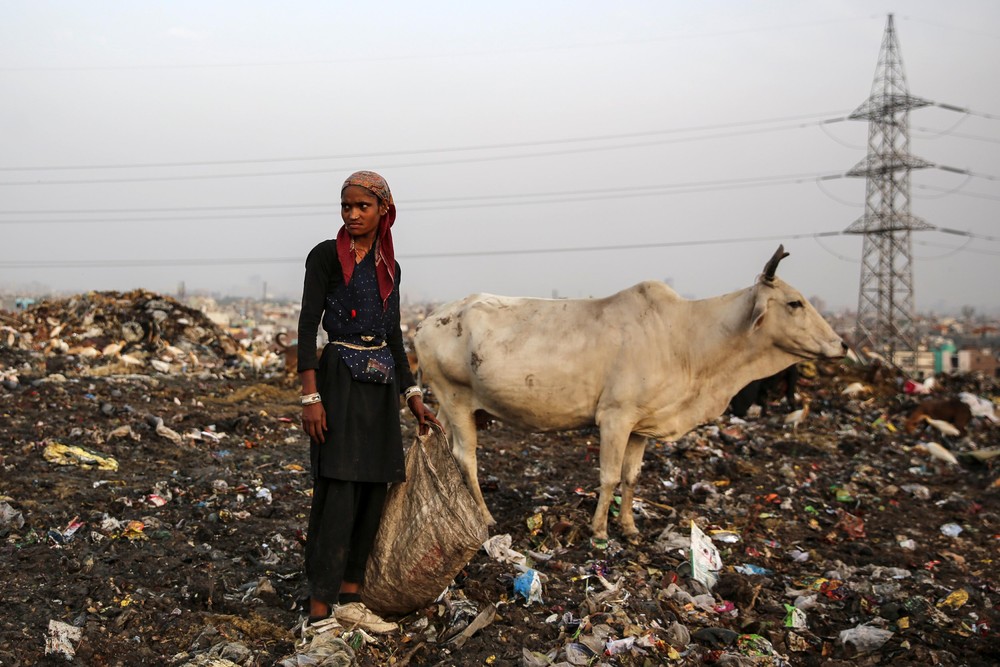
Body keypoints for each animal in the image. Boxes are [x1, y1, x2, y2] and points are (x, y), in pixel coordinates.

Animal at [414, 247, 844, 544]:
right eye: (794, 303)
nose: (840, 345)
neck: (687, 340)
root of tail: (425, 322)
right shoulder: (615, 418)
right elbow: (607, 477)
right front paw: (600, 530)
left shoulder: (641, 425)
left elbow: (631, 477)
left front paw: (630, 526)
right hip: (455, 398)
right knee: (466, 458)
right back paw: (485, 517)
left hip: (448, 404)